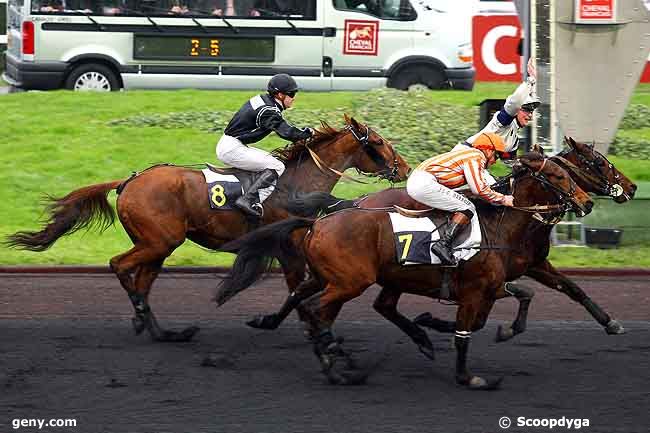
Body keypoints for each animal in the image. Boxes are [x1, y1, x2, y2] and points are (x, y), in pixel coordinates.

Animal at [6, 115, 404, 340]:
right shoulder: (287, 244)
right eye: (378, 142)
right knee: (120, 266)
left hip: (157, 246)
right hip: (159, 241)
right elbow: (297, 285)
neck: (297, 183)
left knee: (142, 280)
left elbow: (300, 286)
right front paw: (293, 323)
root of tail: (129, 180)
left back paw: (161, 330)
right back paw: (143, 317)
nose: (401, 167)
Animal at [218, 154, 592, 388]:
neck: (497, 229)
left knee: (307, 300)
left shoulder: (492, 287)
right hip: (350, 282)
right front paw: (469, 376)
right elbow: (465, 333)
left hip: (334, 278)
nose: (587, 202)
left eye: (571, 173)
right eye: (558, 176)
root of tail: (317, 222)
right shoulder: (476, 290)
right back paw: (337, 360)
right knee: (315, 310)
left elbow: (519, 298)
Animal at [242, 137, 632, 340]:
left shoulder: (532, 265)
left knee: (303, 291)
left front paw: (610, 322)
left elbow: (573, 289)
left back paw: (275, 322)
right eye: (598, 163)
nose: (630, 187)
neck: (512, 223)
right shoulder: (495, 278)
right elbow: (496, 308)